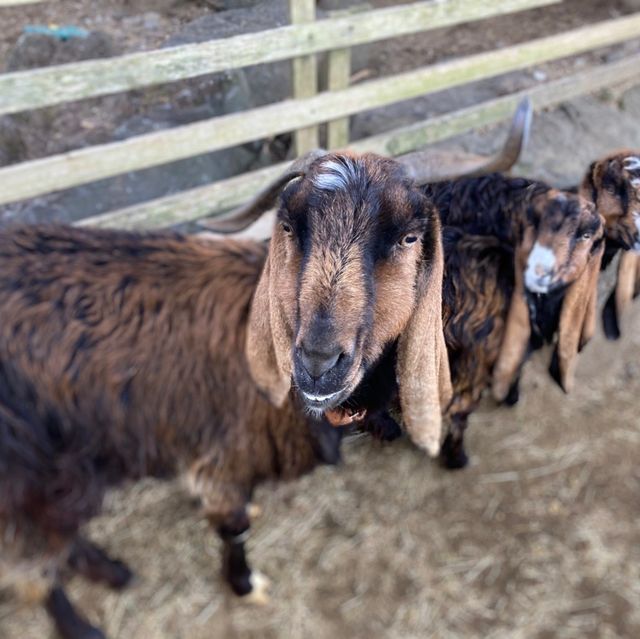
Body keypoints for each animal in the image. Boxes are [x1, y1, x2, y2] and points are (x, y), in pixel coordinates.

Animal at [1, 151, 450, 639]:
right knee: (33, 562)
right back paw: (80, 622)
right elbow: (233, 529)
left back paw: (112, 571)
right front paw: (244, 584)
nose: (317, 362)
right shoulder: (224, 457)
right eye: (288, 226)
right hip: (28, 471)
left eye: (408, 237)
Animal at [422, 175, 604, 470]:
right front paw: (511, 396)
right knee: (459, 405)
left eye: (585, 235)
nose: (541, 271)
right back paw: (457, 458)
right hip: (473, 351)